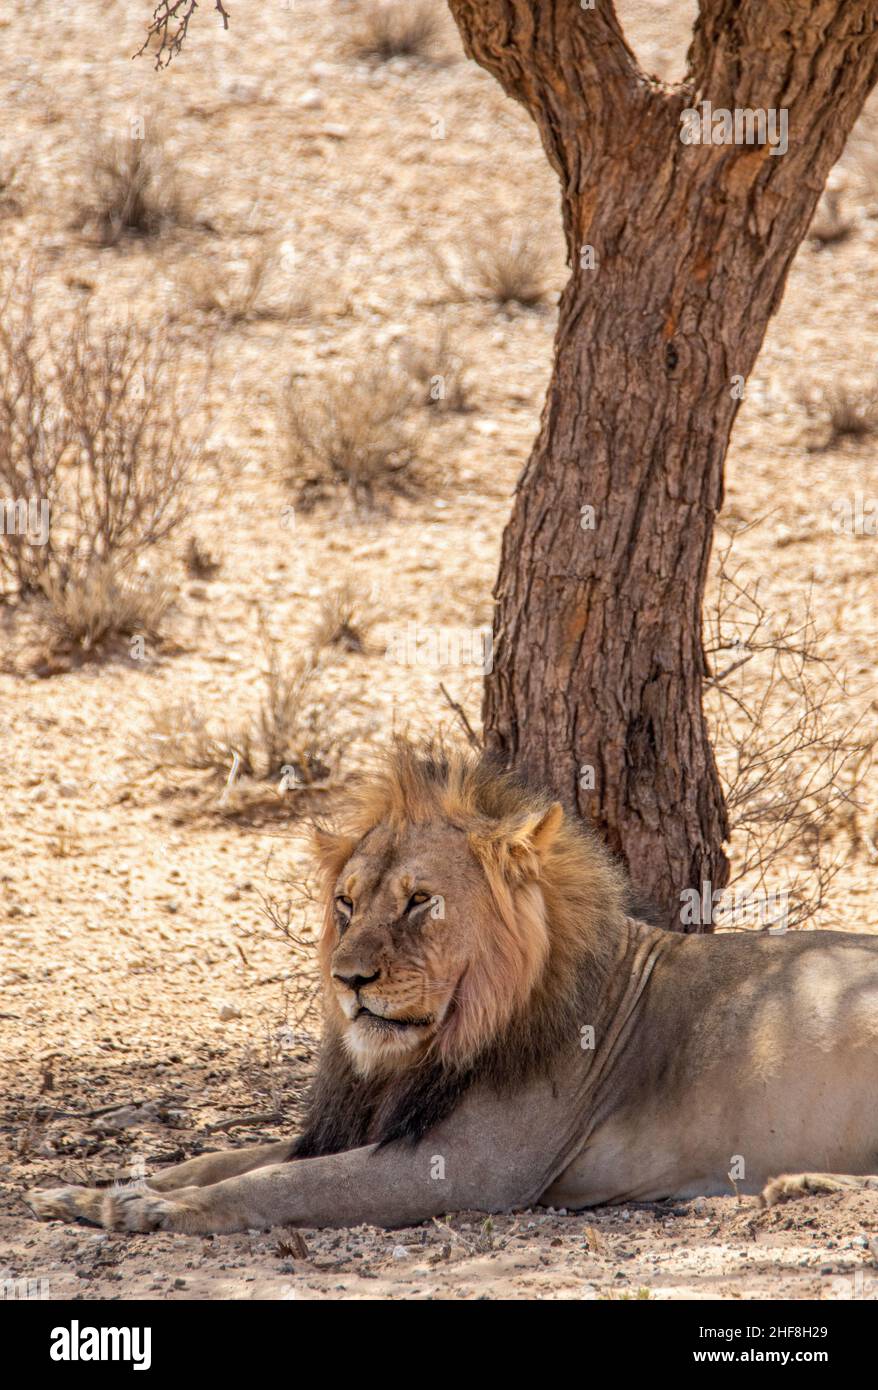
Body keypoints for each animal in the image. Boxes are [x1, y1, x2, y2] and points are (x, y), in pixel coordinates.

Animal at [27, 743, 878, 1235]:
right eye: (346, 903)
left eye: (418, 901)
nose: (347, 979)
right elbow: (225, 1156)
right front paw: (88, 1193)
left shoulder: (473, 1167)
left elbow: (283, 1182)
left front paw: (155, 1210)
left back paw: (794, 1185)